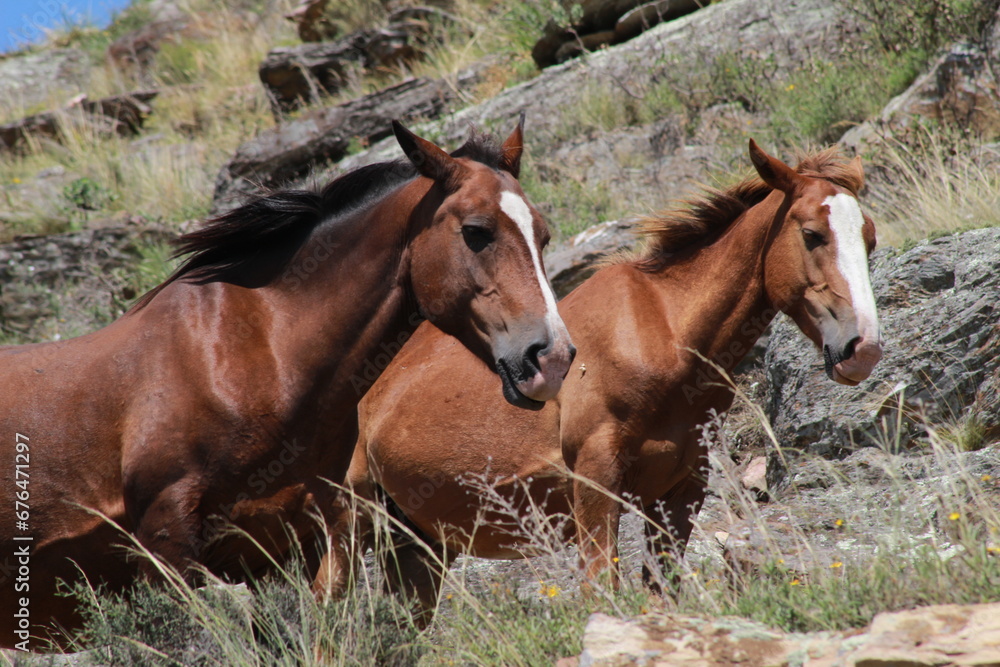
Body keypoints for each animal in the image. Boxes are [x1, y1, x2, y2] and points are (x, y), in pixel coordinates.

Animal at [0, 118, 576, 649]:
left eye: (543, 235)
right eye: (476, 230)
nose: (552, 358)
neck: (251, 355)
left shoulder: (286, 552)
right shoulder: (167, 546)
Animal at [322, 140, 882, 619]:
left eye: (869, 239)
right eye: (811, 234)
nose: (863, 349)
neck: (661, 333)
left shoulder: (680, 493)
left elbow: (659, 594)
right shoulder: (596, 482)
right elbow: (601, 590)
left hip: (418, 543)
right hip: (349, 521)